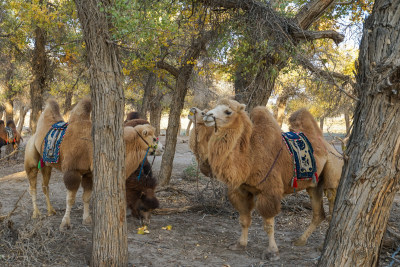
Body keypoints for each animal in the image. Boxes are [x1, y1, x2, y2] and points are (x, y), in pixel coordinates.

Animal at [23, 98, 159, 230]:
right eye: (153, 137)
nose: (146, 222)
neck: (89, 146)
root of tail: (34, 134)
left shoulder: (88, 173)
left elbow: (86, 197)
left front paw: (87, 219)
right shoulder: (72, 171)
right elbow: (70, 199)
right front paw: (65, 223)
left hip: (46, 164)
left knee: (45, 186)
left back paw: (51, 211)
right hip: (31, 159)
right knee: (32, 185)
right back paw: (36, 213)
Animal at [205, 99, 342, 260]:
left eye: (228, 111)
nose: (207, 115)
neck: (250, 156)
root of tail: (331, 148)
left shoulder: (269, 191)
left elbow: (268, 225)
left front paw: (272, 252)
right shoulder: (242, 190)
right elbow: (244, 220)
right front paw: (240, 244)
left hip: (332, 174)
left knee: (332, 207)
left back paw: (321, 246)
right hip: (314, 184)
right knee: (318, 213)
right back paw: (300, 240)